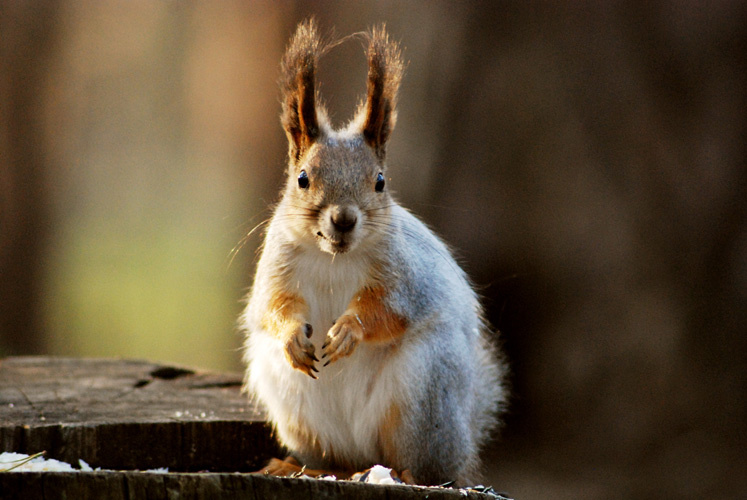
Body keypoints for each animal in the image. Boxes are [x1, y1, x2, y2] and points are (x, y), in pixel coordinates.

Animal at [241, 19, 507, 486]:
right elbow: (274, 307)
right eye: (303, 178)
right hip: (288, 397)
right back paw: (304, 465)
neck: (334, 256)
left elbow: (388, 310)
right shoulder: (276, 266)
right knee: (333, 456)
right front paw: (293, 336)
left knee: (423, 464)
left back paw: (402, 472)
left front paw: (349, 330)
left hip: (422, 389)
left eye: (380, 181)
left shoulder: (403, 277)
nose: (344, 219)